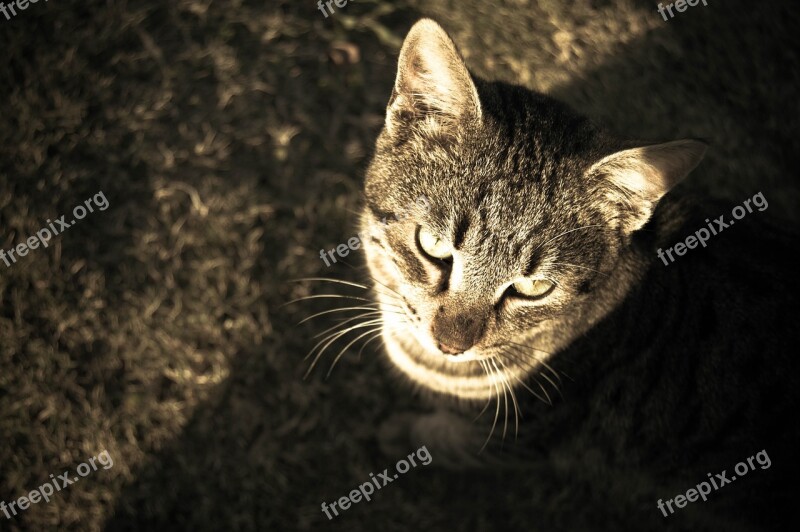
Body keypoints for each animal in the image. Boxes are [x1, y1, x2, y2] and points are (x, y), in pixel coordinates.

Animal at [350, 17, 800, 532]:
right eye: (433, 245)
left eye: (534, 288)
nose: (450, 345)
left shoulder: (522, 441)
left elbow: (445, 438)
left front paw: (396, 433)